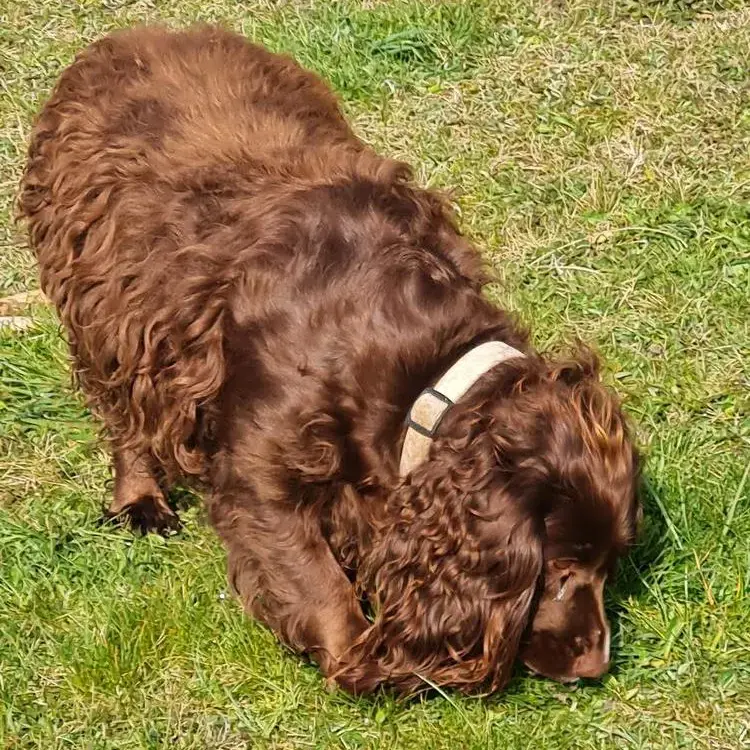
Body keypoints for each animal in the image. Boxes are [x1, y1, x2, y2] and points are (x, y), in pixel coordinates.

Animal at [19, 23, 640, 696]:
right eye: (560, 568)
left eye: (612, 561)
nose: (596, 666)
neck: (417, 365)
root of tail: (132, 33)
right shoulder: (260, 475)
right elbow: (319, 589)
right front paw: (371, 659)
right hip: (99, 286)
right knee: (121, 407)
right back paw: (139, 501)